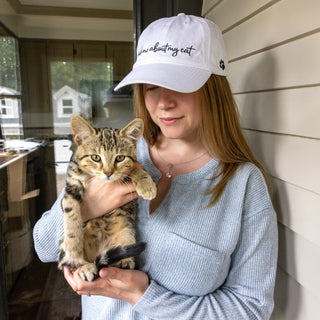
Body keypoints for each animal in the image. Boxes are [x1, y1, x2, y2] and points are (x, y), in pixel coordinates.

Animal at [58, 114, 158, 280]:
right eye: (95, 157)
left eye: (120, 158)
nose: (108, 173)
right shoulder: (72, 184)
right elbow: (70, 211)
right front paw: (72, 244)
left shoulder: (131, 167)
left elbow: (135, 169)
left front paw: (146, 184)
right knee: (72, 263)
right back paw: (84, 266)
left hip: (127, 231)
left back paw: (124, 262)